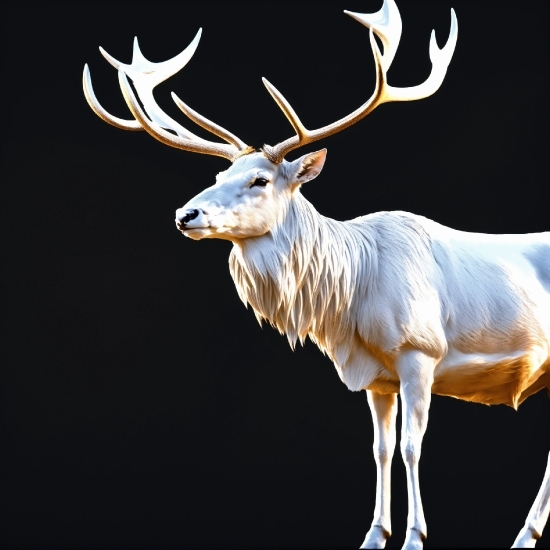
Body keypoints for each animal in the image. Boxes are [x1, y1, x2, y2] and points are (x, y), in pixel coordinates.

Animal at [83, 0, 550, 548]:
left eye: (259, 180)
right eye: (219, 175)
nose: (185, 214)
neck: (350, 294)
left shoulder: (420, 351)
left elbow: (411, 448)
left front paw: (415, 536)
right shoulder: (377, 375)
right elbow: (381, 449)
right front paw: (374, 534)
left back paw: (524, 533)